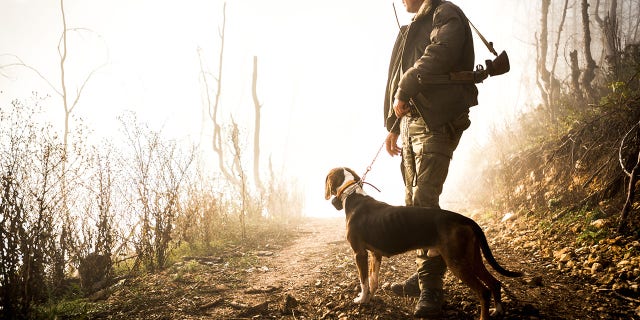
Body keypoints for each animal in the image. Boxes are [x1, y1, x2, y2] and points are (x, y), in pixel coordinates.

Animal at [322, 168, 524, 320]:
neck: (353, 195)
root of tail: (464, 218)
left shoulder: (360, 253)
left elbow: (363, 281)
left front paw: (362, 300)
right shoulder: (375, 254)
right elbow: (373, 280)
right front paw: (371, 296)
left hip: (457, 262)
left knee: (484, 292)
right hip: (472, 258)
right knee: (495, 283)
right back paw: (498, 311)